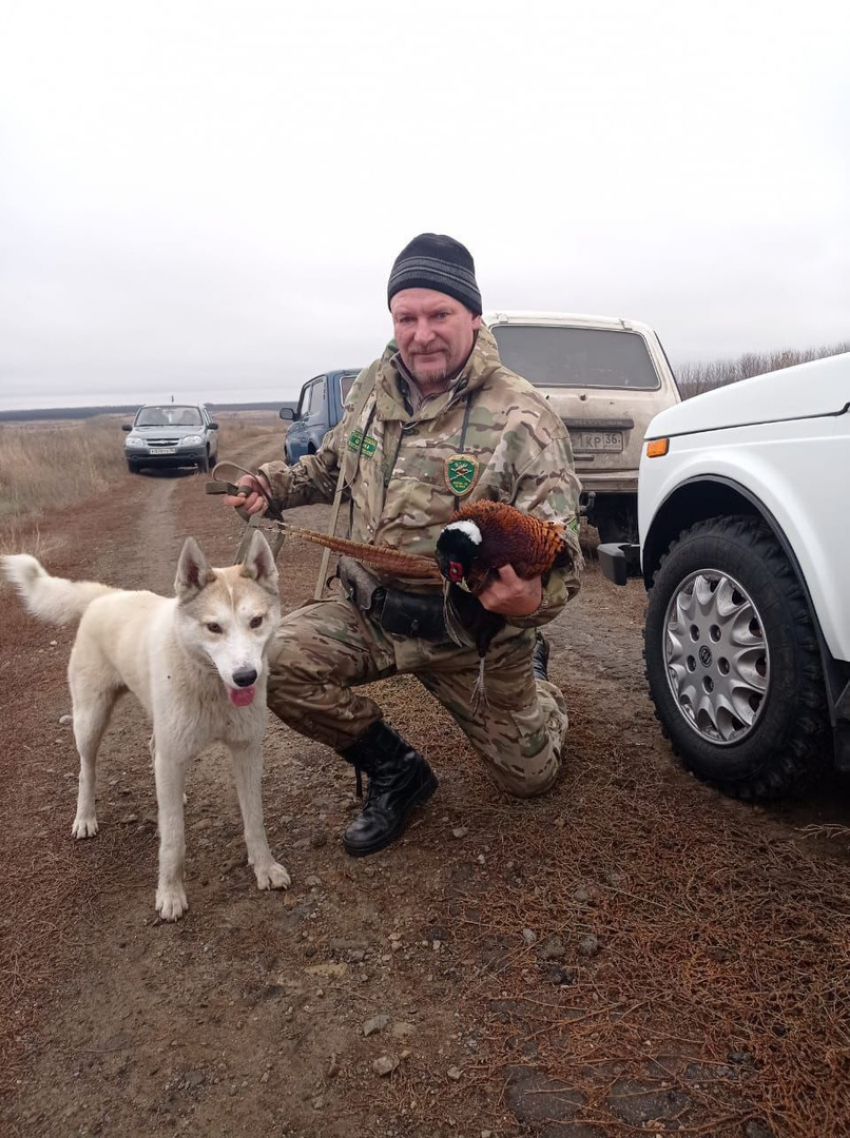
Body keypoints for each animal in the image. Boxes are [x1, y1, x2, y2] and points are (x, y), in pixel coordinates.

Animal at [0, 534, 289, 924]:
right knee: (87, 769)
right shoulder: (175, 757)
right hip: (90, 721)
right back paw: (85, 817)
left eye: (256, 621)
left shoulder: (246, 752)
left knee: (153, 751)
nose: (246, 677)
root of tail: (105, 596)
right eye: (214, 627)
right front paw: (170, 894)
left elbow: (255, 821)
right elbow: (173, 840)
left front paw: (265, 868)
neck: (210, 682)